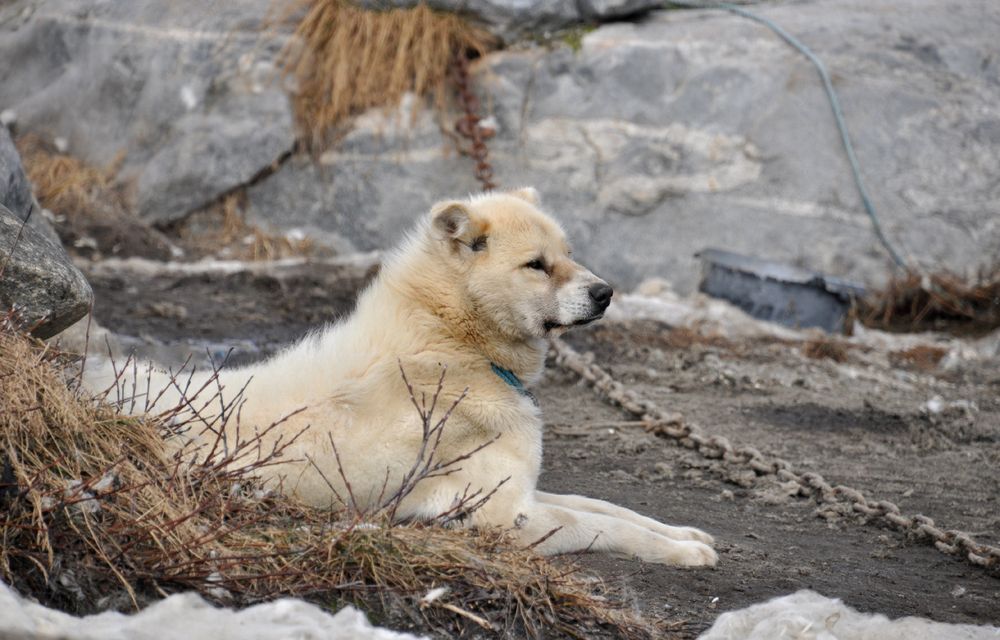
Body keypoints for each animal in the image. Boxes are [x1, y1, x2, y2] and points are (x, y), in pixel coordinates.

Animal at [92, 189, 720, 564]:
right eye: (536, 265)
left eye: (568, 254)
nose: (606, 293)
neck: (456, 339)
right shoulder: (498, 516)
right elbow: (595, 522)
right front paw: (683, 553)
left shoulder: (523, 486)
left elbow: (607, 508)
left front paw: (685, 535)